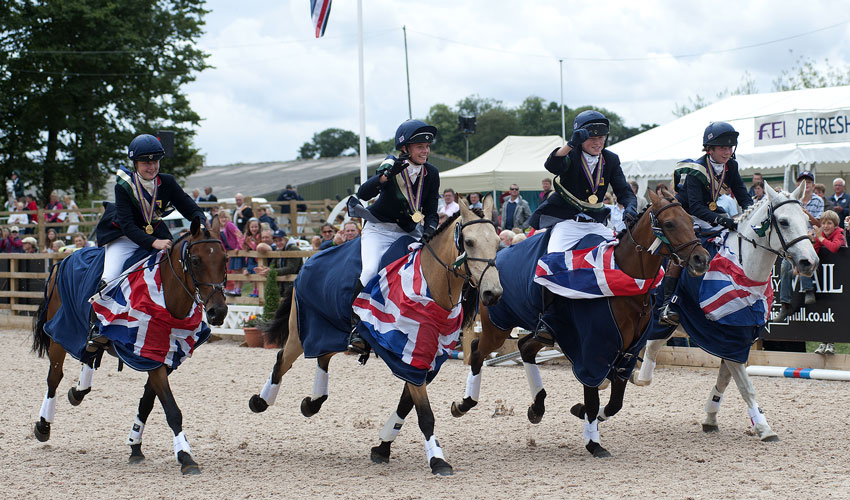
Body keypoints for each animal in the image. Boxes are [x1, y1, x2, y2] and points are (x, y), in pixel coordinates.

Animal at [31, 217, 227, 474]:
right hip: (59, 334)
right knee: (54, 378)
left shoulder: (163, 357)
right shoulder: (150, 359)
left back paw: (78, 390)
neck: (166, 297)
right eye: (195, 260)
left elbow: (147, 403)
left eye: (225, 259)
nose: (218, 312)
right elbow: (172, 410)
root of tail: (64, 259)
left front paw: (135, 446)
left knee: (89, 355)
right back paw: (44, 425)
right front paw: (186, 456)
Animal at [245, 197, 500, 474]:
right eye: (469, 242)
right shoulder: (410, 358)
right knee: (282, 360)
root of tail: (310, 260)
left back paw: (311, 403)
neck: (430, 285)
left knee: (323, 357)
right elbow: (424, 414)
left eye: (498, 241)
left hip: (331, 332)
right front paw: (438, 460)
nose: (493, 293)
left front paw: (383, 447)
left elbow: (405, 405)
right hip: (302, 333)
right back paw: (260, 401)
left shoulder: (426, 359)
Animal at [448, 188, 712, 458]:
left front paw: (582, 412)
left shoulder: (627, 352)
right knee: (478, 350)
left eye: (691, 222)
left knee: (524, 347)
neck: (626, 283)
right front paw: (593, 442)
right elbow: (594, 398)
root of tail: (492, 259)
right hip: (497, 326)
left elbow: (614, 403)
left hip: (546, 331)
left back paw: (537, 407)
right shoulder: (593, 350)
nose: (702, 259)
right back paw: (464, 403)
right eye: (669, 223)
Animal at [632, 183, 820, 442]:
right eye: (783, 222)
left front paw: (711, 416)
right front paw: (764, 427)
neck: (742, 270)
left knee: (649, 351)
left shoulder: (737, 340)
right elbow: (746, 387)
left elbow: (725, 380)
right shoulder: (727, 339)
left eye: (806, 219)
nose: (809, 262)